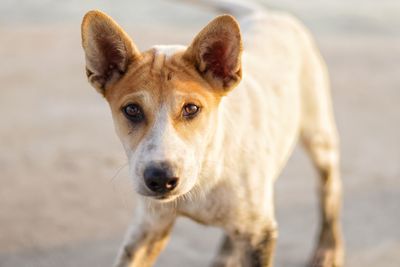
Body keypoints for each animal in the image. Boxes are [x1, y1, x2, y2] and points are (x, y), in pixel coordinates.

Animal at [81, 1, 344, 266]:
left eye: (191, 108)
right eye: (132, 109)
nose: (160, 179)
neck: (206, 171)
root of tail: (268, 14)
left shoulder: (260, 233)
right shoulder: (149, 225)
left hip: (319, 137)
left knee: (329, 190)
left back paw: (328, 249)